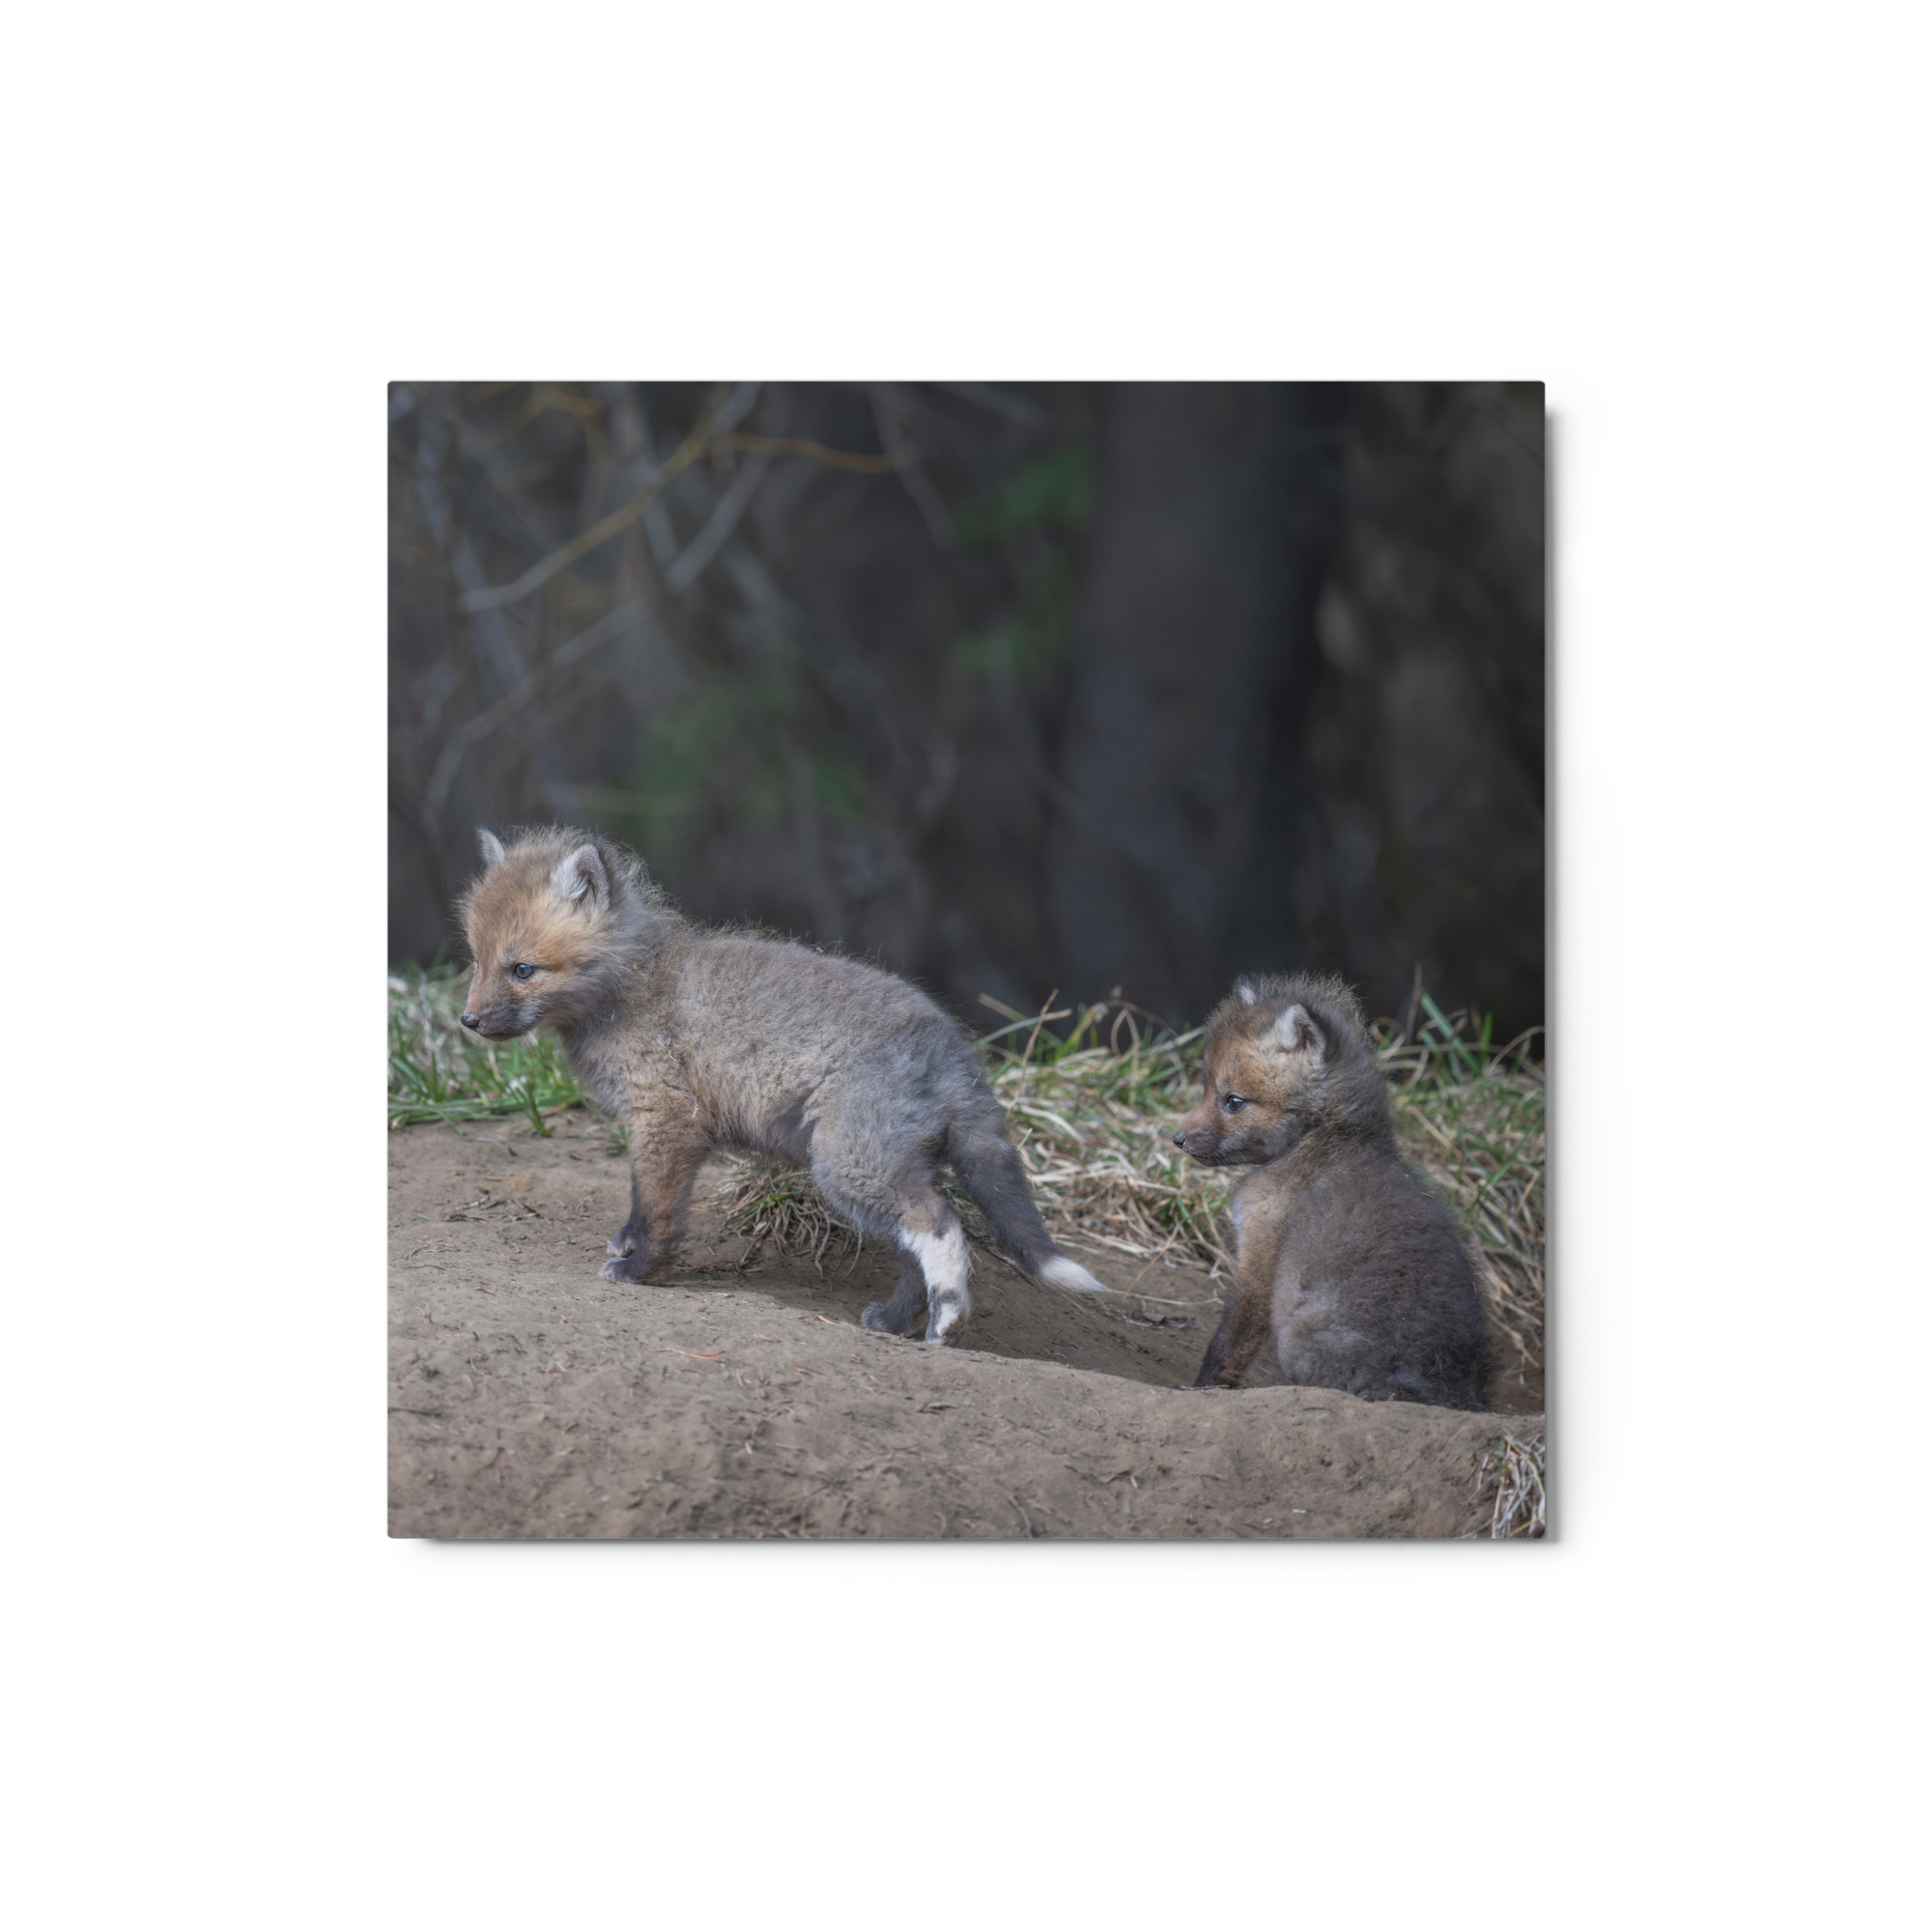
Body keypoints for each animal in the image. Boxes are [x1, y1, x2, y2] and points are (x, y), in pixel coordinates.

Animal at [457, 824, 1112, 1343]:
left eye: (523, 969)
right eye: (477, 961)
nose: (468, 1021)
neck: (633, 987)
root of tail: (956, 1052)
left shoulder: (667, 1121)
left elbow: (657, 1209)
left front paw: (641, 1269)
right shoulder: (661, 1128)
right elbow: (642, 1201)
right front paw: (629, 1246)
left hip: (849, 1166)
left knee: (941, 1225)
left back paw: (948, 1321)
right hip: (879, 1171)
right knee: (913, 1248)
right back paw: (896, 1322)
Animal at [1172, 973, 1492, 1410]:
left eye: (1233, 1101)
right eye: (1206, 1088)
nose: (1177, 1139)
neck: (1324, 1137)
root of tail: (1446, 1392)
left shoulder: (1260, 1253)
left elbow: (1230, 1340)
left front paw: (1202, 1389)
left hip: (1296, 1338)